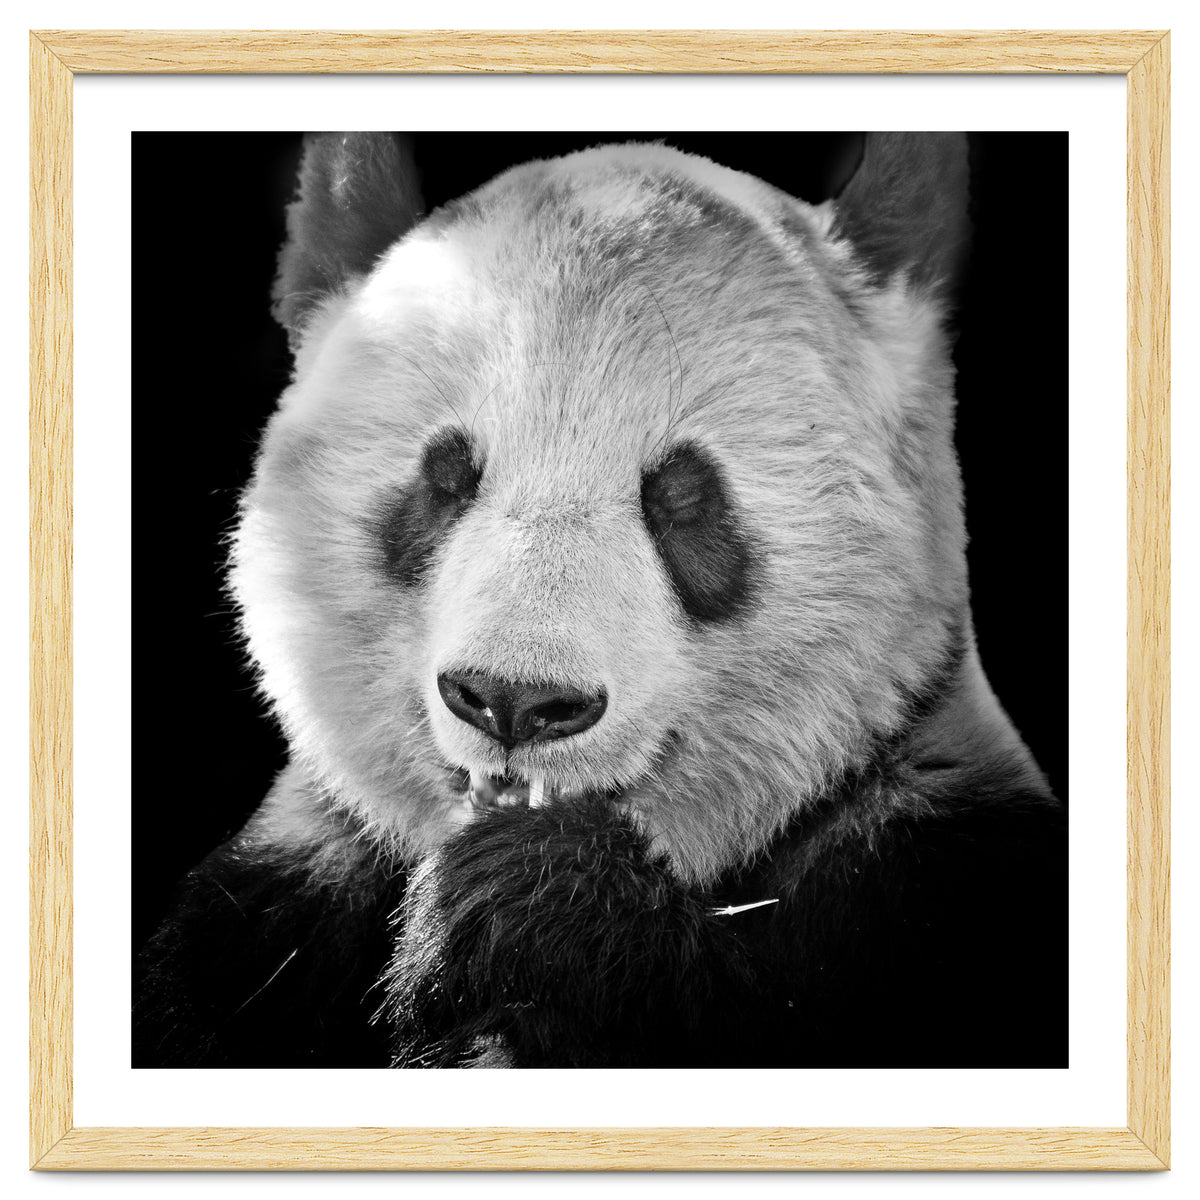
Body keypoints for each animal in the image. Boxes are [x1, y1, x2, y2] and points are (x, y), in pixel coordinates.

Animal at [134, 132, 1067, 1069]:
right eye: (445, 477)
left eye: (683, 496)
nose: (515, 701)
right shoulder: (269, 913)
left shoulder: (933, 877)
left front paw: (532, 904)